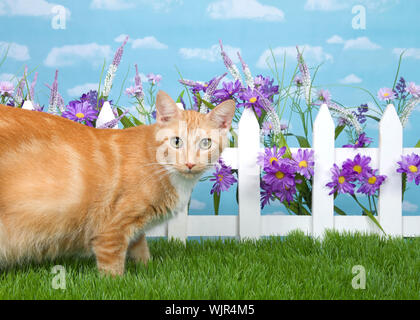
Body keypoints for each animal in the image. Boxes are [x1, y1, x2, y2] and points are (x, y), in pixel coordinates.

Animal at [0, 90, 236, 276]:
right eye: (176, 142)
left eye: (206, 143)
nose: (189, 163)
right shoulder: (111, 230)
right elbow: (112, 265)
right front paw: (116, 281)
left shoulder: (134, 227)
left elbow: (140, 246)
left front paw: (147, 268)